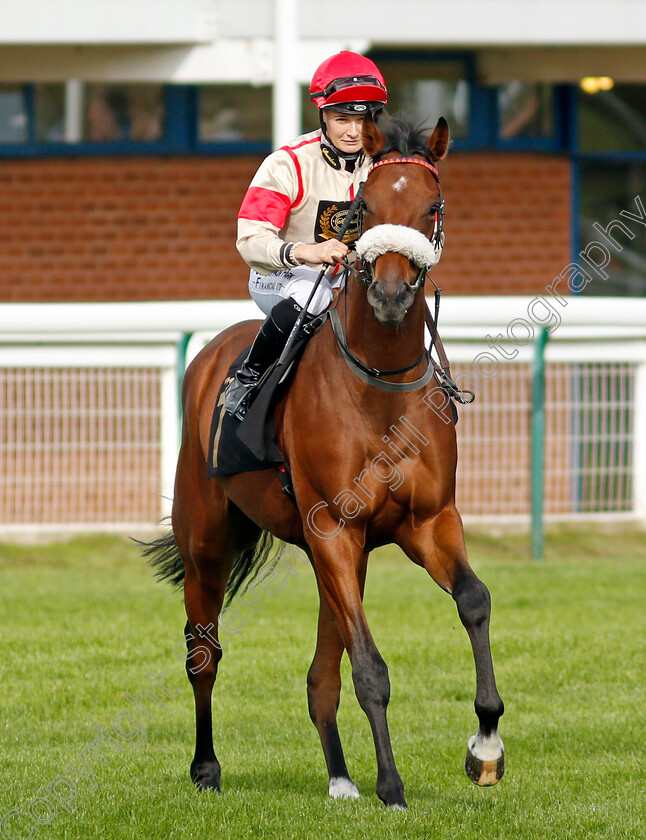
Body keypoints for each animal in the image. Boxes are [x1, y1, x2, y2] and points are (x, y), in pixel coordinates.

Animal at [147, 111, 506, 808]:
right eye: (365, 208)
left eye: (433, 206)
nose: (391, 294)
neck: (379, 383)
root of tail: (211, 356)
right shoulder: (335, 529)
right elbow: (370, 666)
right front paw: (393, 785)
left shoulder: (426, 522)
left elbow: (473, 600)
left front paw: (485, 745)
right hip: (209, 543)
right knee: (203, 654)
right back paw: (206, 767)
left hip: (336, 556)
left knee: (321, 673)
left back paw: (340, 775)